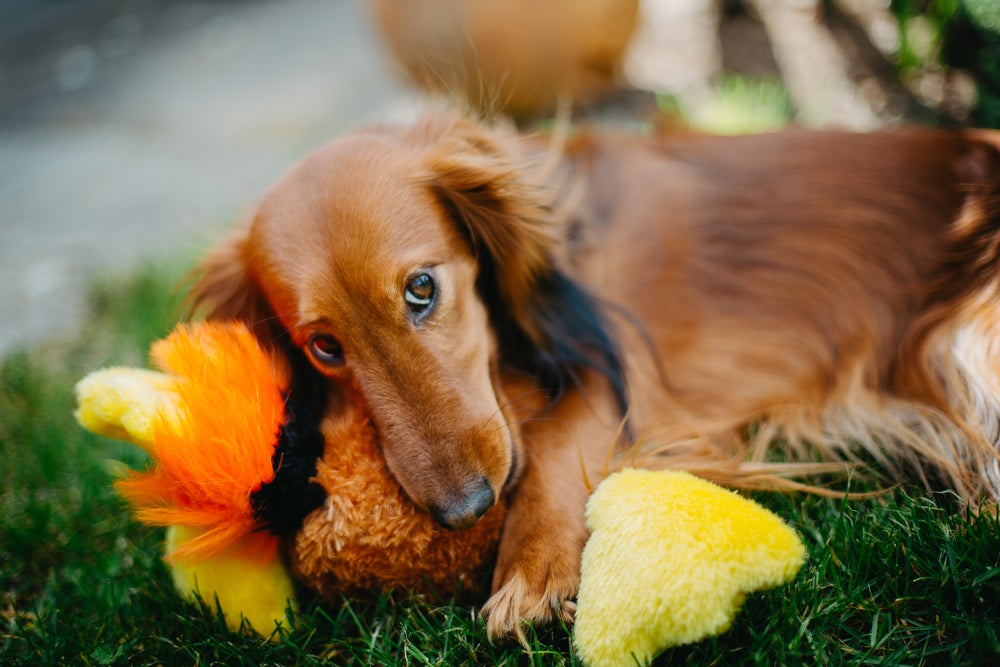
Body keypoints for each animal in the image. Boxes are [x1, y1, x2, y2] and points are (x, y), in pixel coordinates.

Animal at [188, 113, 1000, 640]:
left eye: (421, 288)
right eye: (323, 346)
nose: (465, 511)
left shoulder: (623, 369)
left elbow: (553, 442)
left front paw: (531, 571)